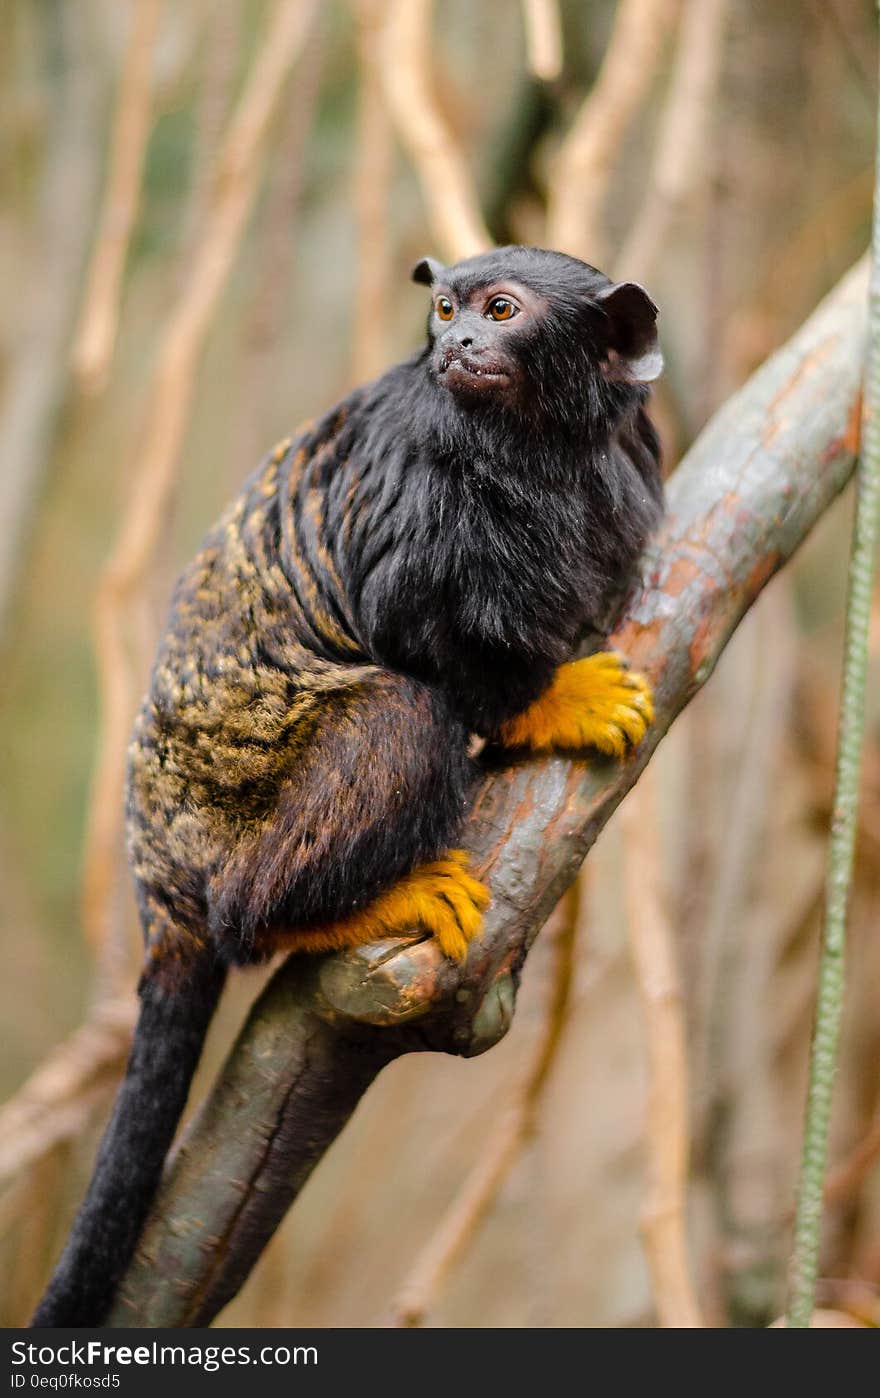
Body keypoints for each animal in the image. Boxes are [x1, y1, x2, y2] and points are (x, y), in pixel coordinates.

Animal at [34, 246, 663, 1325]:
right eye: (446, 310)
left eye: (502, 313)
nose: (459, 342)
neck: (548, 451)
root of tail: (161, 882)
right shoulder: (424, 490)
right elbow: (416, 629)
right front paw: (550, 702)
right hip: (241, 820)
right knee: (390, 728)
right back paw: (329, 912)